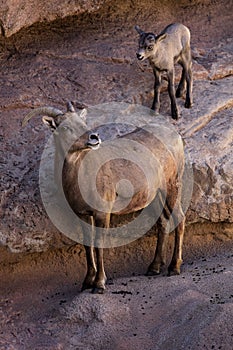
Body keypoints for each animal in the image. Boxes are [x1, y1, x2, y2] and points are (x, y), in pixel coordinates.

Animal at [22, 102, 187, 294]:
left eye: (83, 122)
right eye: (65, 127)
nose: (94, 138)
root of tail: (176, 136)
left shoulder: (102, 213)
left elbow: (99, 244)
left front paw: (99, 285)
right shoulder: (82, 214)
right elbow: (88, 245)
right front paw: (87, 282)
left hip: (173, 185)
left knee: (179, 218)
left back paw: (174, 268)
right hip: (155, 195)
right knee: (163, 221)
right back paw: (154, 268)